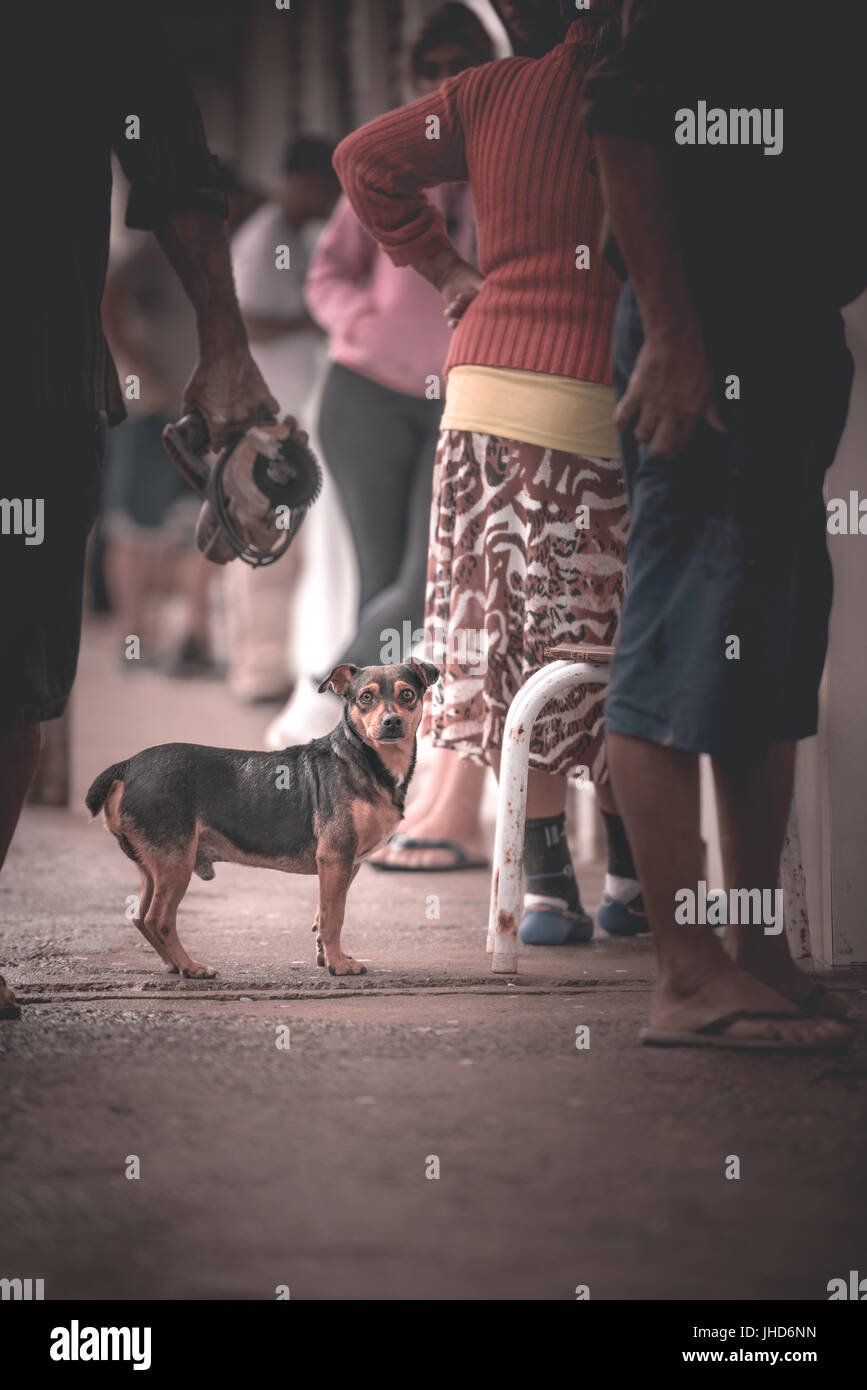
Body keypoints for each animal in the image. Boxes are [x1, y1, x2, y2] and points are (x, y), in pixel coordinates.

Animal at [86, 658, 439, 978]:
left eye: (408, 694)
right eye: (366, 697)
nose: (391, 722)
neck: (365, 759)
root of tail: (127, 766)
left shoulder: (347, 865)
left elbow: (322, 915)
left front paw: (326, 955)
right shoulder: (335, 858)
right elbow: (333, 917)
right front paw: (338, 965)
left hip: (154, 866)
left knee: (141, 917)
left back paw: (175, 965)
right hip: (176, 862)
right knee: (158, 919)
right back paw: (191, 967)